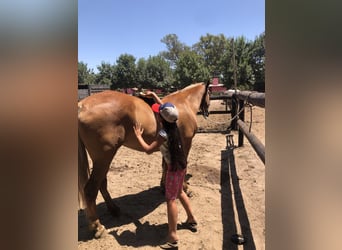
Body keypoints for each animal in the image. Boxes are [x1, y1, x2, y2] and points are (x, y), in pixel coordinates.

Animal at [78, 81, 210, 238]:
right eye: (209, 93)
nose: (207, 111)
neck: (184, 103)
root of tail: (82, 106)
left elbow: (165, 166)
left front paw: (163, 187)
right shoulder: (185, 143)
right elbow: (181, 165)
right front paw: (186, 188)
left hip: (102, 159)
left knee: (102, 183)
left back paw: (114, 209)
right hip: (104, 158)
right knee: (90, 190)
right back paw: (97, 227)